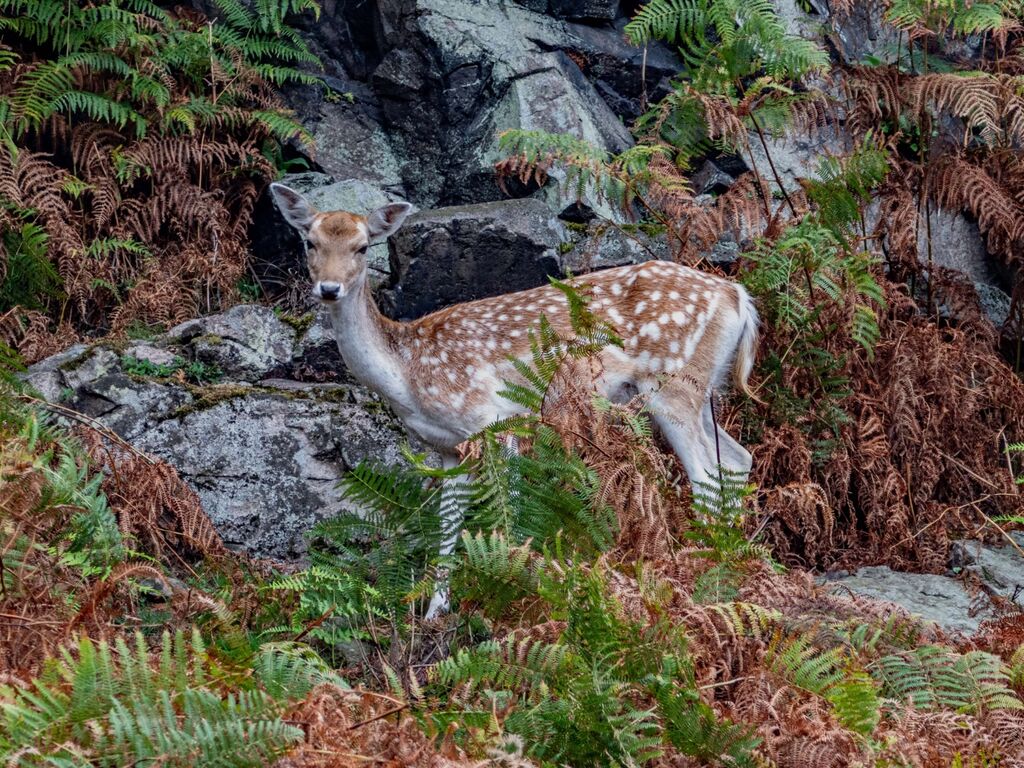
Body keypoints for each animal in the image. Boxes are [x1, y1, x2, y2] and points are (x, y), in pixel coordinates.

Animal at [270, 182, 759, 618]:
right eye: (310, 241)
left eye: (362, 248)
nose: (329, 288)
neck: (407, 376)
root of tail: (737, 296)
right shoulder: (448, 448)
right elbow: (449, 524)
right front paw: (435, 612)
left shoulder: (491, 419)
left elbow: (508, 509)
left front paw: (508, 591)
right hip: (703, 386)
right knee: (737, 458)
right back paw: (732, 560)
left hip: (671, 383)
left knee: (705, 476)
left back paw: (703, 573)